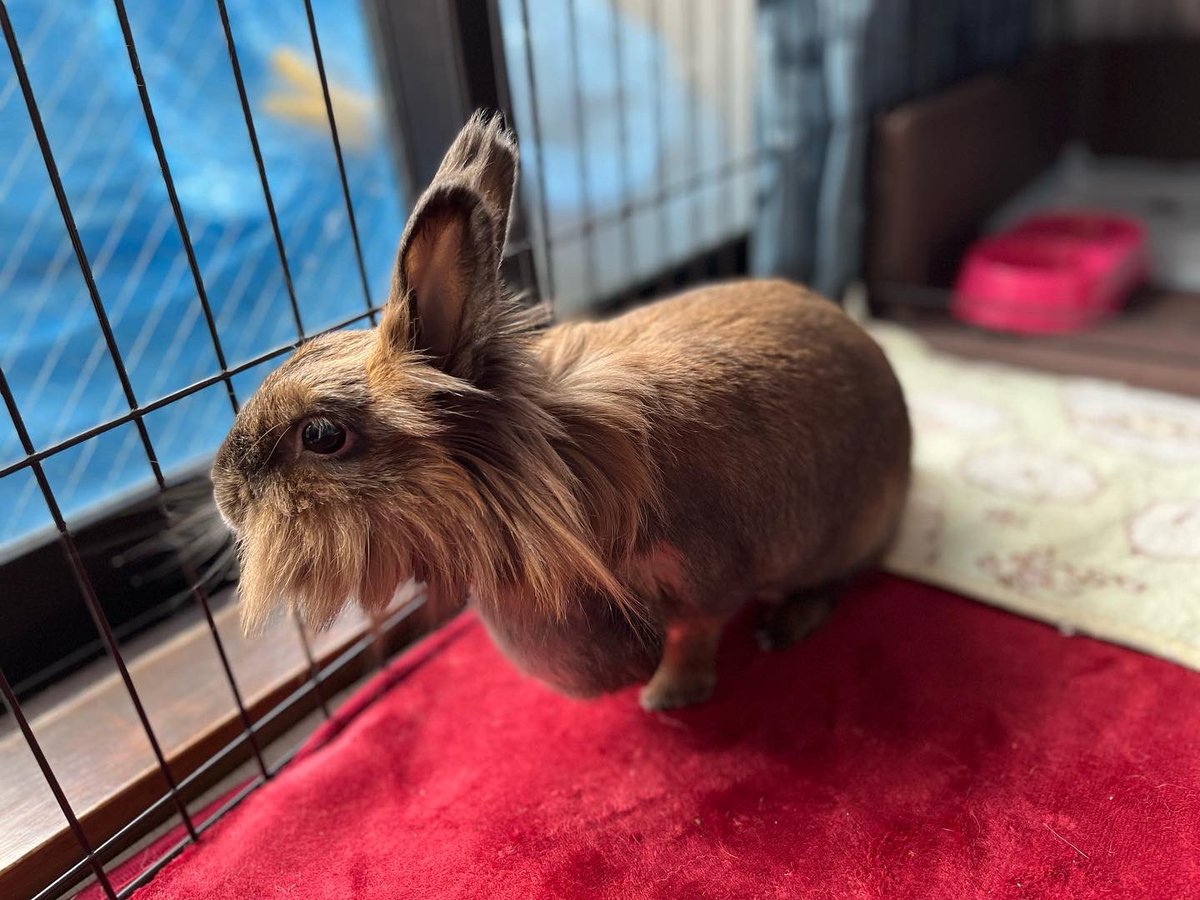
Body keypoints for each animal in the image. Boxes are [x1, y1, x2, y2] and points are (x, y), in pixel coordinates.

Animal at [211, 112, 911, 711]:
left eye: (321, 434)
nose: (224, 494)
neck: (547, 472)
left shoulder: (707, 574)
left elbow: (696, 634)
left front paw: (668, 697)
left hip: (845, 536)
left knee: (837, 581)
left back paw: (785, 626)